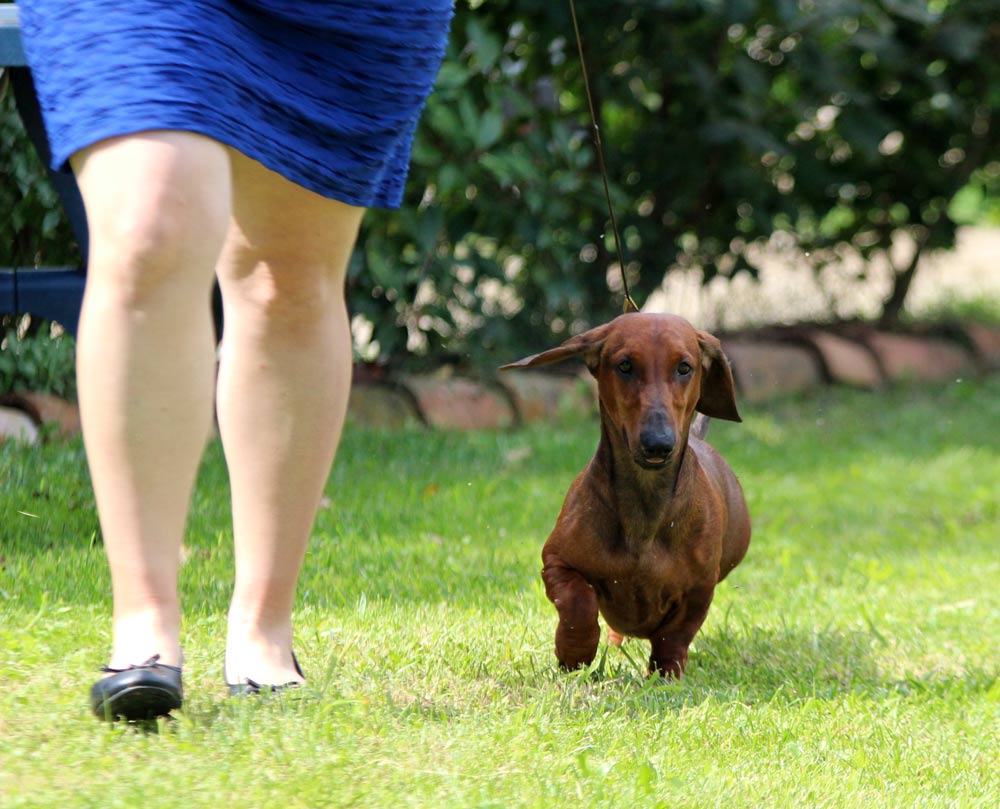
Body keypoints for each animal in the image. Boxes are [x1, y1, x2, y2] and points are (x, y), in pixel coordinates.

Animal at [504, 312, 748, 680]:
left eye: (684, 367)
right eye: (625, 365)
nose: (658, 443)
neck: (644, 508)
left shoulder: (699, 591)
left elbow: (675, 635)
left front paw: (665, 675)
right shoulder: (556, 562)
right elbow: (578, 603)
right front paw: (574, 653)